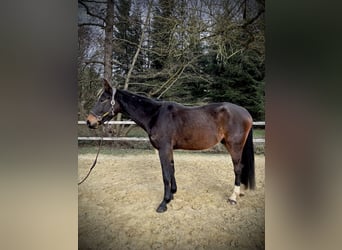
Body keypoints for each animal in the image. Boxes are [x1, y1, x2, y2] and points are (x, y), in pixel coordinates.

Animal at [87, 79, 255, 212]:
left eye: (103, 99)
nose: (89, 121)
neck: (155, 115)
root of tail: (245, 112)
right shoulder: (169, 150)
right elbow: (172, 169)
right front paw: (173, 194)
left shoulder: (163, 149)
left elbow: (165, 174)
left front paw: (164, 203)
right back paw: (239, 193)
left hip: (234, 146)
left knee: (238, 168)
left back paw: (233, 197)